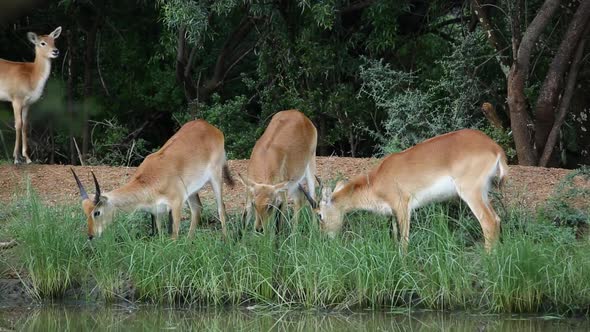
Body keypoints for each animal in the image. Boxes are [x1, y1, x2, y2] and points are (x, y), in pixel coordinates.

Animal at [0, 26, 61, 164]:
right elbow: (18, 124)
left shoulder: (28, 103)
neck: (32, 77)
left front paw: (27, 158)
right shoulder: (16, 98)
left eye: (54, 41)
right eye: (42, 43)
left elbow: (25, 126)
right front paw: (16, 158)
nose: (56, 51)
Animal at [70, 119, 235, 239]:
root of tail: (212, 128)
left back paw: (225, 240)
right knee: (197, 209)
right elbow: (161, 236)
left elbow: (173, 237)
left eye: (96, 212)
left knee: (221, 208)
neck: (150, 181)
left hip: (215, 177)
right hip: (192, 190)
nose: (90, 235)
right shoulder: (157, 212)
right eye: (85, 212)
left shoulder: (176, 205)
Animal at [302, 130, 512, 252]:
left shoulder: (402, 206)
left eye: (319, 214)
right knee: (497, 219)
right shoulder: (394, 213)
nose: (323, 238)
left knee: (488, 222)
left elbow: (404, 241)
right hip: (483, 192)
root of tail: (495, 148)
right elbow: (396, 237)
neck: (377, 181)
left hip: (470, 193)